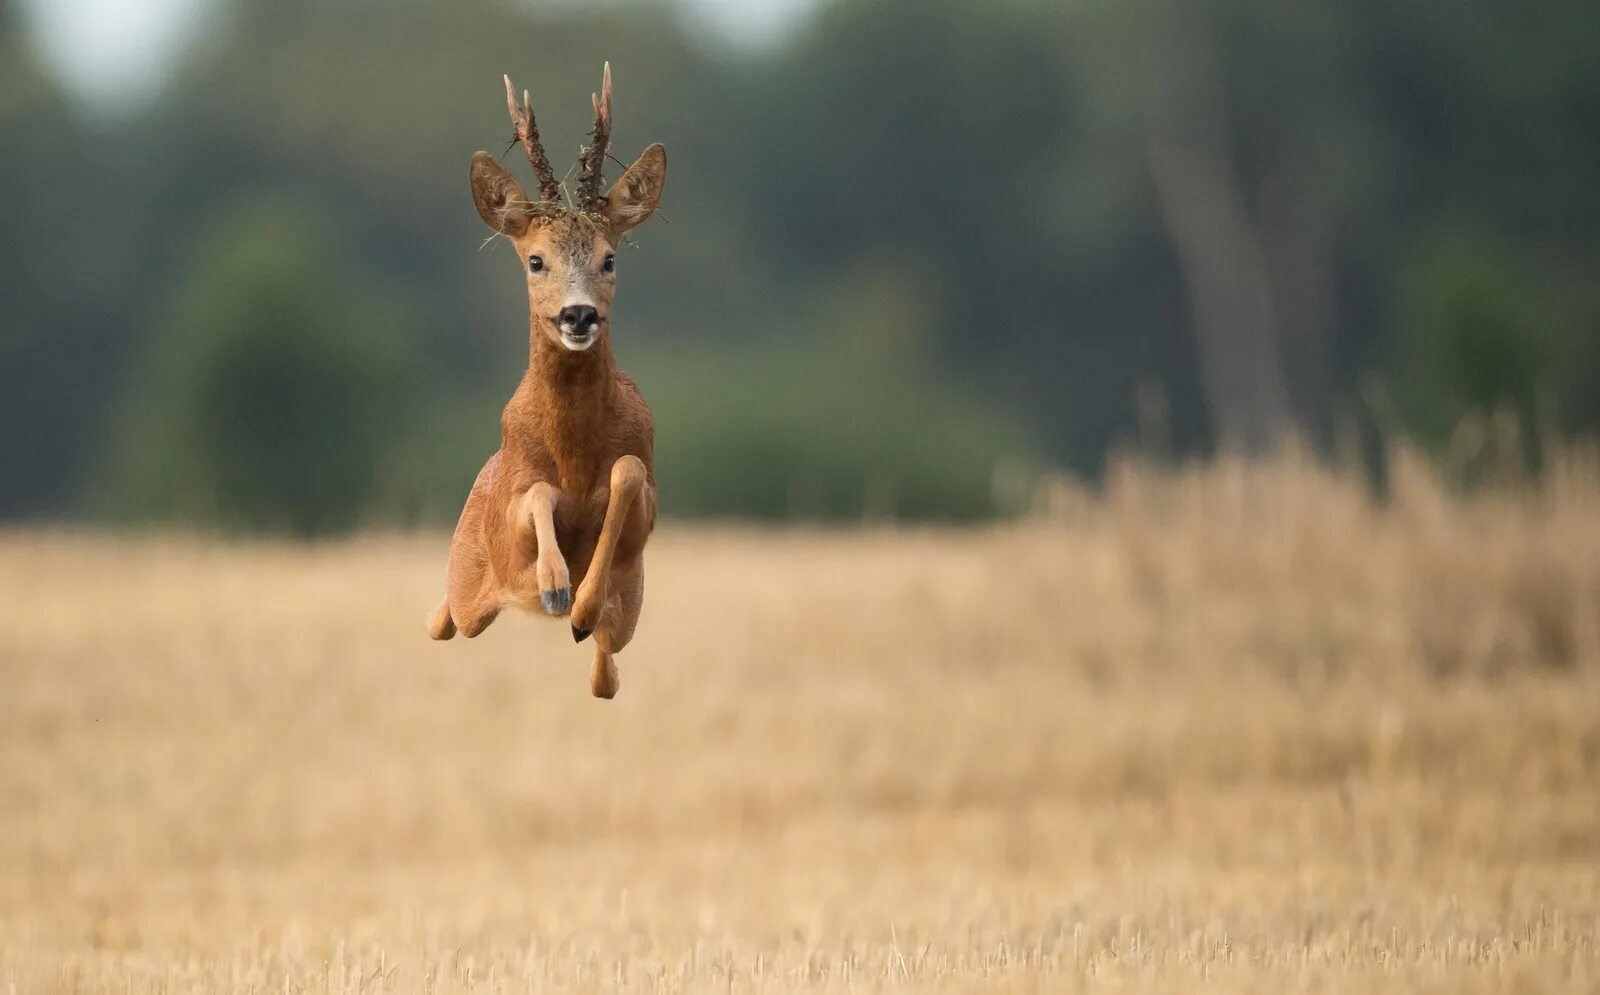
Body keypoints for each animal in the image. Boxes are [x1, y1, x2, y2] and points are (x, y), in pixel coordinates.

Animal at [422, 64, 665, 700]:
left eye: (609, 258)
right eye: (535, 260)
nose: (578, 315)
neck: (575, 455)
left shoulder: (645, 509)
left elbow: (627, 474)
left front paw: (578, 604)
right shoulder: (512, 510)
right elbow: (536, 495)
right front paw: (556, 585)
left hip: (631, 614)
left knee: (605, 675)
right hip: (468, 578)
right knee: (446, 619)